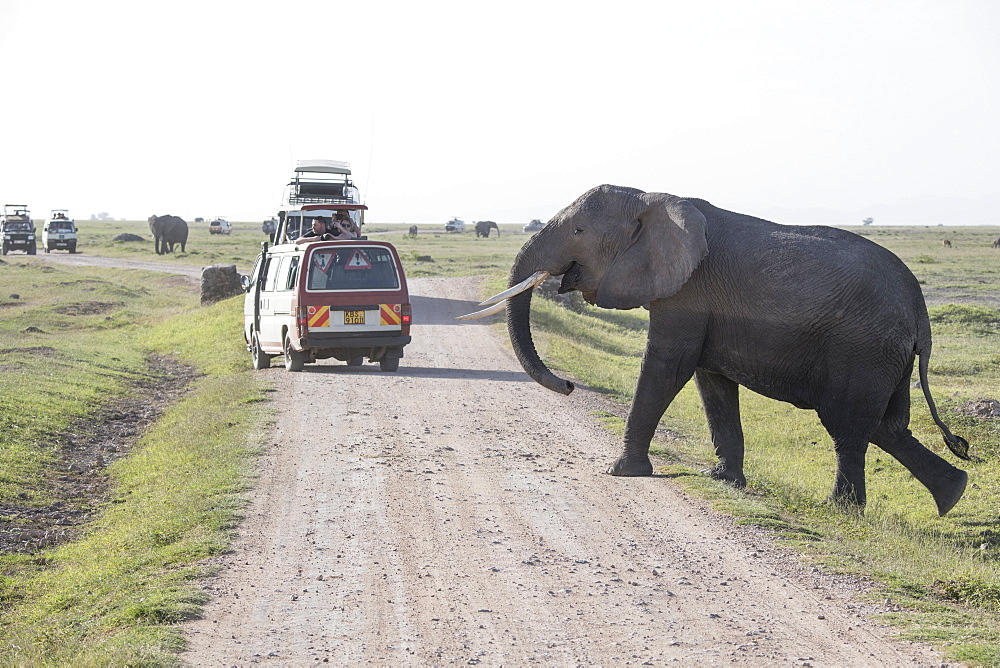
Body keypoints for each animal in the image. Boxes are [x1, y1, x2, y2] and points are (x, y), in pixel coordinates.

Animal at [466, 185, 968, 516]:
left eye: (579, 229)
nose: (569, 385)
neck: (651, 197)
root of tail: (920, 309)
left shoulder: (687, 292)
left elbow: (669, 365)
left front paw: (622, 473)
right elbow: (712, 382)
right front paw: (724, 481)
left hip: (863, 348)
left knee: (848, 425)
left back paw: (839, 510)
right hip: (884, 354)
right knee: (887, 426)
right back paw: (953, 495)